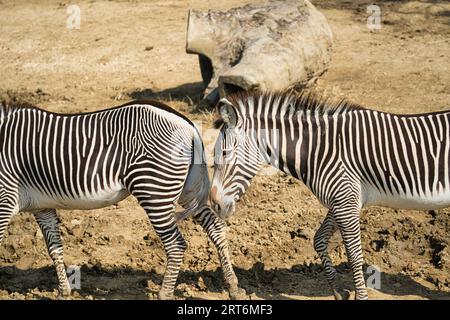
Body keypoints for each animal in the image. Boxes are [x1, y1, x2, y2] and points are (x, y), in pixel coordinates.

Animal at [0, 99, 243, 298]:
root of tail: (188, 124)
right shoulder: (42, 207)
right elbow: (55, 249)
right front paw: (64, 291)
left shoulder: (4, 199)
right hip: (187, 189)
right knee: (215, 227)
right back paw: (232, 285)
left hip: (154, 190)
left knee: (176, 244)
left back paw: (164, 293)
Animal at [210, 90, 450, 300]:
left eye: (225, 153)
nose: (215, 205)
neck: (319, 151)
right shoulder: (342, 201)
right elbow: (319, 240)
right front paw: (337, 291)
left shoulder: (345, 202)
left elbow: (354, 255)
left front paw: (360, 296)